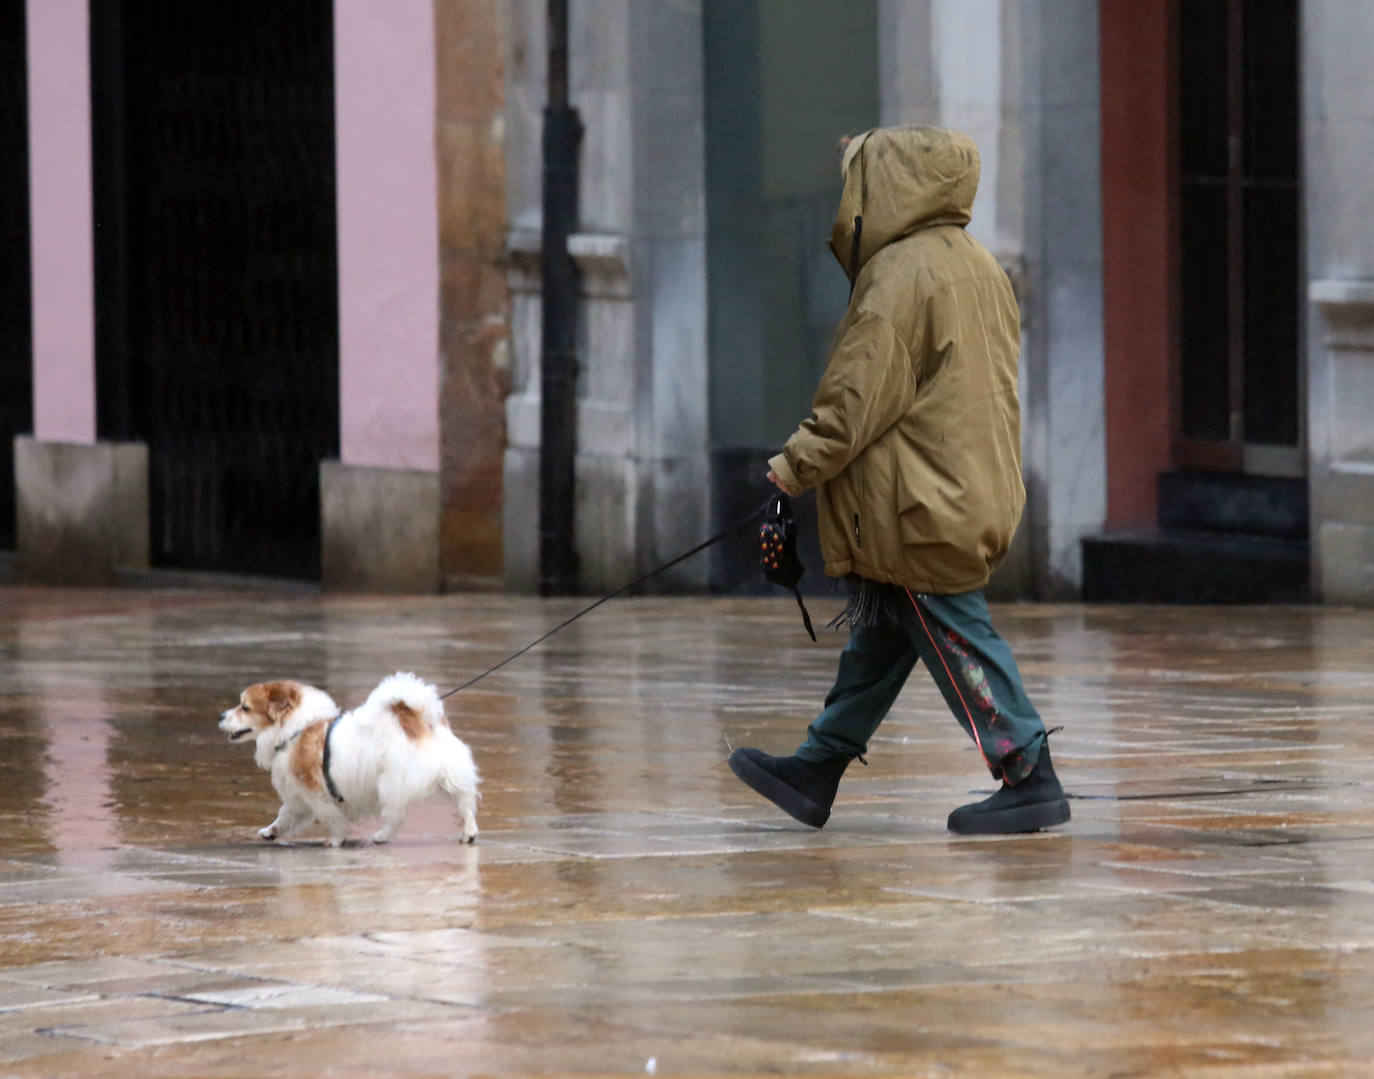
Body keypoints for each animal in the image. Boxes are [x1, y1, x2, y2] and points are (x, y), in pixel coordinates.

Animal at [222, 668, 480, 846]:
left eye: (245, 707)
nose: (221, 716)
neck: (295, 730)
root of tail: (419, 718)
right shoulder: (298, 794)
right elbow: (285, 814)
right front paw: (271, 831)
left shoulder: (316, 792)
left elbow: (331, 818)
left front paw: (335, 840)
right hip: (449, 775)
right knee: (465, 804)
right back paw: (468, 833)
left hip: (391, 782)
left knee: (395, 814)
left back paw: (381, 836)